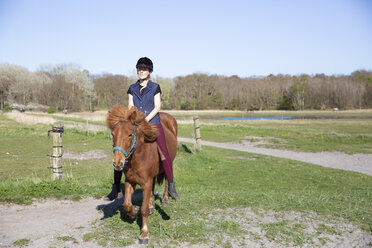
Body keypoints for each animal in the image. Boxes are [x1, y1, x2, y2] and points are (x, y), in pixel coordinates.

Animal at [107, 105, 178, 244]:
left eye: (130, 134)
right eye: (113, 134)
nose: (117, 163)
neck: (138, 156)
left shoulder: (146, 182)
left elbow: (144, 209)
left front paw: (144, 234)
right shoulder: (130, 181)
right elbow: (126, 204)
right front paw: (134, 211)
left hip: (169, 161)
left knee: (168, 179)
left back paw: (166, 199)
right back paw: (151, 205)